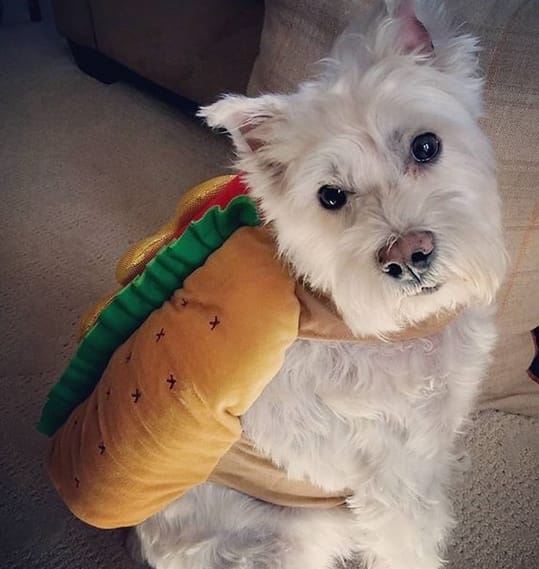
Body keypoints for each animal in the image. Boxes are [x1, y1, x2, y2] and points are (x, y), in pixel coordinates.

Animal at [131, 1, 507, 567]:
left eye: (426, 145)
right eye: (330, 196)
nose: (407, 256)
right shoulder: (392, 488)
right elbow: (412, 543)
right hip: (294, 536)